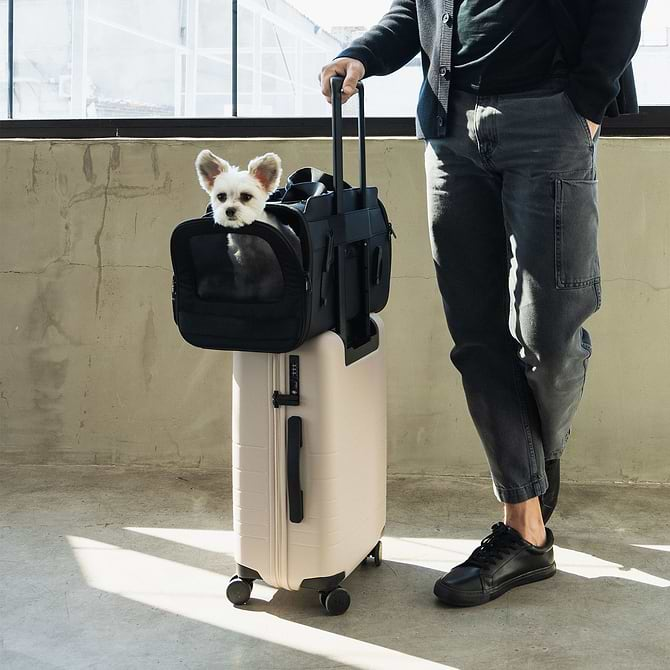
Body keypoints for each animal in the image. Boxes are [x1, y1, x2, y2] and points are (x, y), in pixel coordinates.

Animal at [194, 151, 300, 304]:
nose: (229, 210)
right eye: (221, 196)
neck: (247, 238)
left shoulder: (273, 274)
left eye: (246, 196)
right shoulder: (242, 273)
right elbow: (244, 291)